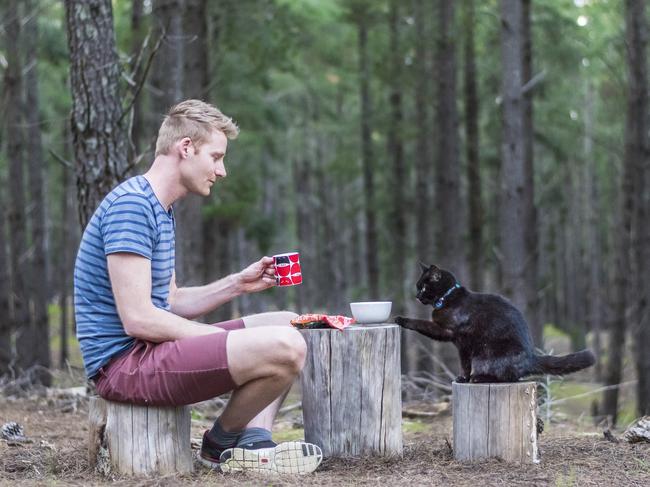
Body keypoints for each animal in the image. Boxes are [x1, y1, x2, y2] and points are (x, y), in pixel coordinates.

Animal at [392, 264, 596, 384]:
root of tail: (531, 357)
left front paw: (400, 319)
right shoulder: (455, 340)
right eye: (418, 286)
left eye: (424, 287)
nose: (416, 295)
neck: (448, 297)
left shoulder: (454, 337)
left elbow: (423, 325)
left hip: (485, 355)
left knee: (507, 377)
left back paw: (479, 378)